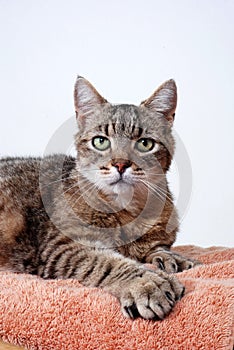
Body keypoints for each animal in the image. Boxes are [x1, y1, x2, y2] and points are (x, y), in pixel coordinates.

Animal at [0, 76, 197, 320]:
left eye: (145, 144)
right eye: (100, 141)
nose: (121, 164)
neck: (127, 212)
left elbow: (158, 248)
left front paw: (171, 259)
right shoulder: (66, 245)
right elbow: (106, 262)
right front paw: (147, 283)